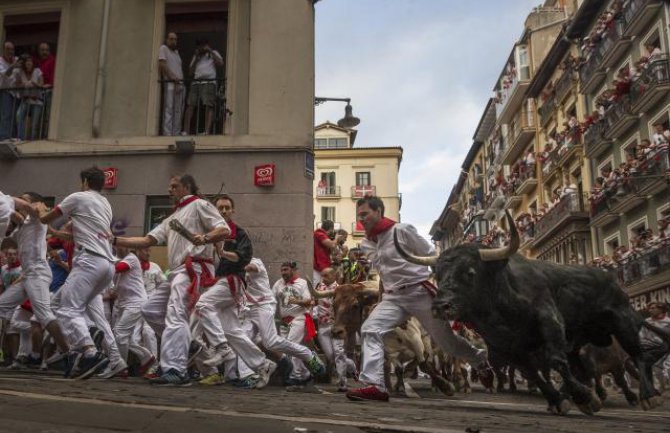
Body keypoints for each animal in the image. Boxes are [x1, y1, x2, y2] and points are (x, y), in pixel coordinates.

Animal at [396, 211, 668, 414]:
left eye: (470, 272)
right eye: (439, 275)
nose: (440, 306)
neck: (501, 310)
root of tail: (609, 276)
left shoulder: (550, 322)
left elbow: (555, 361)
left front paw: (582, 397)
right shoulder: (505, 346)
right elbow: (533, 373)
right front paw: (561, 399)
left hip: (622, 321)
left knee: (637, 355)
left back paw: (648, 395)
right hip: (579, 341)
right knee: (582, 365)